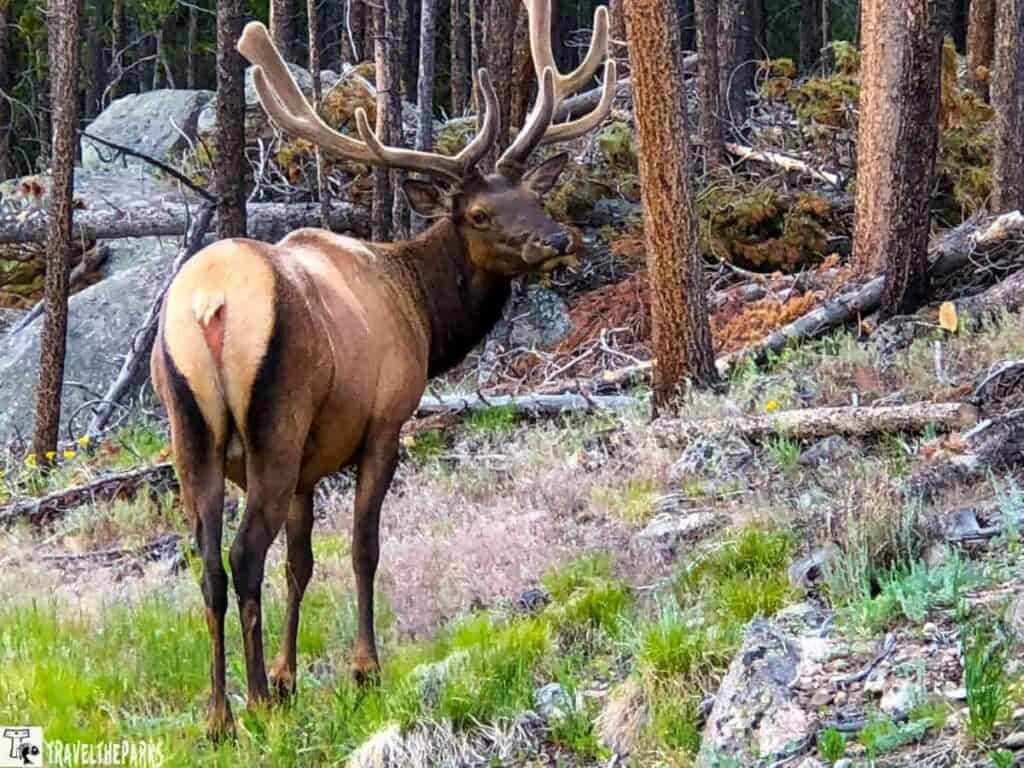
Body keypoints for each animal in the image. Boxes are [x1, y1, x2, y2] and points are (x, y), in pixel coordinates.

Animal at [150, 0, 616, 740]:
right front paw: (361, 669)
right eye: (478, 213)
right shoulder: (382, 424)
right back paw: (255, 705)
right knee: (244, 556)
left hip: (190, 433)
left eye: (531, 196)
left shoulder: (311, 463)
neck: (422, 314)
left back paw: (220, 716)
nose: (557, 239)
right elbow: (362, 547)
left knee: (210, 567)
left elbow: (302, 563)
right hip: (274, 423)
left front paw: (290, 675)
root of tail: (208, 305)